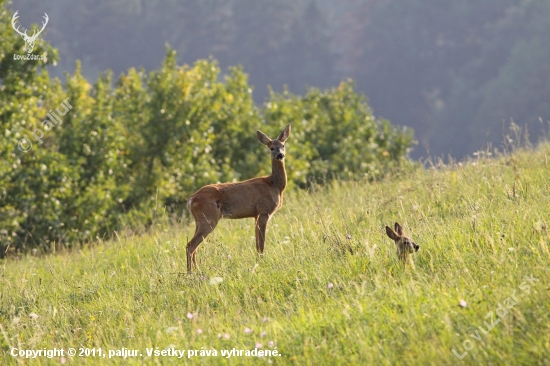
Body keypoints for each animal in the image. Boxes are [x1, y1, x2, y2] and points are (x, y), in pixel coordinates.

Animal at [187, 124, 294, 274]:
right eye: (271, 147)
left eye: (283, 145)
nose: (280, 155)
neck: (274, 185)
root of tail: (191, 199)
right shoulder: (264, 211)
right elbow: (262, 242)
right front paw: (262, 262)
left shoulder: (256, 214)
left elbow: (257, 243)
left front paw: (258, 262)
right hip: (209, 218)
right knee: (190, 245)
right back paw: (191, 273)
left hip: (199, 220)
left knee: (194, 247)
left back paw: (197, 271)